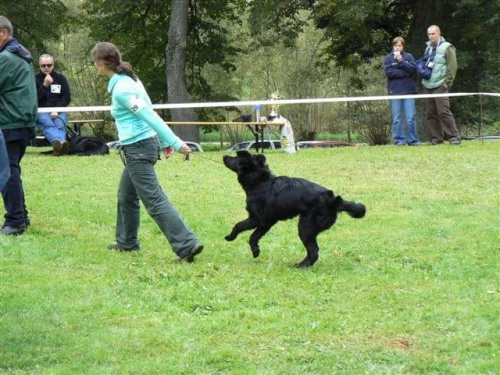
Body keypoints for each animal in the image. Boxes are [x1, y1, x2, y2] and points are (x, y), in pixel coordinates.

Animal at [225, 150, 366, 268]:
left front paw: (230, 237)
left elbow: (239, 225)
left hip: (305, 228)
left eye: (236, 157)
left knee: (314, 251)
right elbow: (253, 236)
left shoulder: (257, 219)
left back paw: (301, 266)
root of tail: (333, 201)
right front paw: (255, 251)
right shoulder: (267, 222)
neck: (260, 182)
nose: (225, 156)